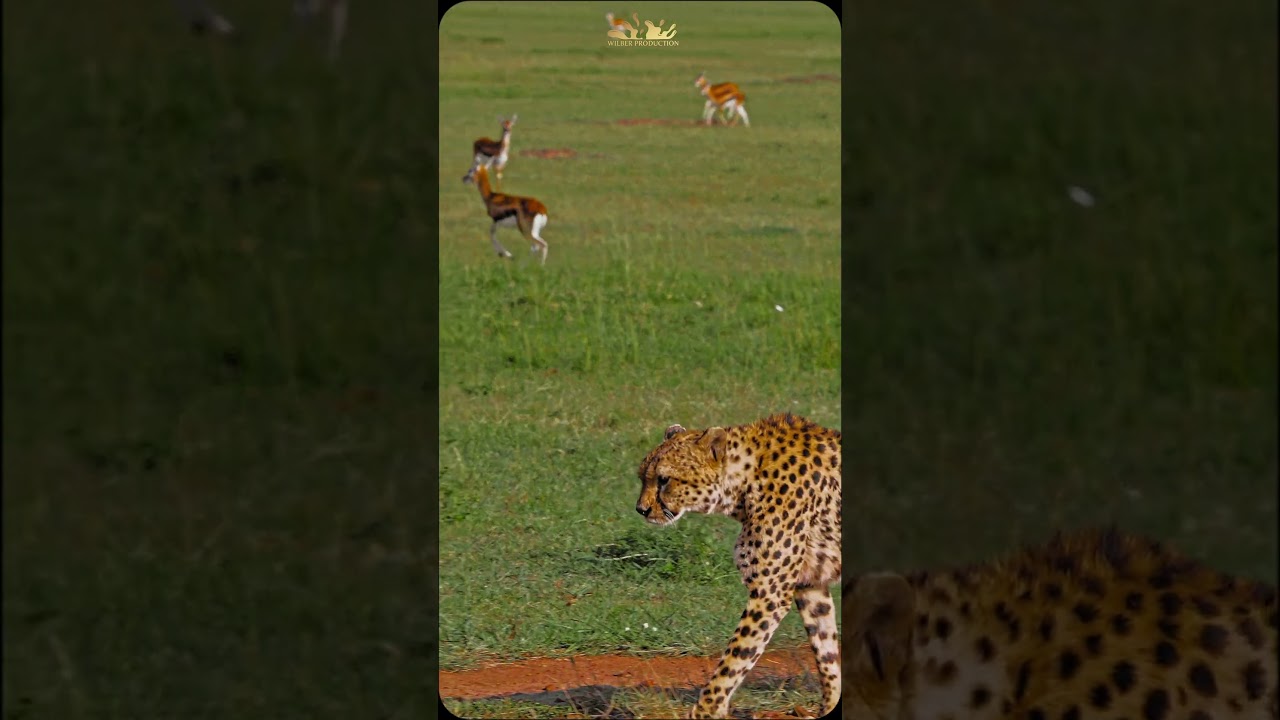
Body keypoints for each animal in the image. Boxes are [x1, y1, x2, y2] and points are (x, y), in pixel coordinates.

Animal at [634, 413, 842, 719]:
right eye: (643, 478)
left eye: (663, 480)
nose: (641, 509)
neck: (745, 479)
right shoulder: (810, 586)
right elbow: (827, 655)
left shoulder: (770, 593)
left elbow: (734, 661)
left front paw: (705, 711)